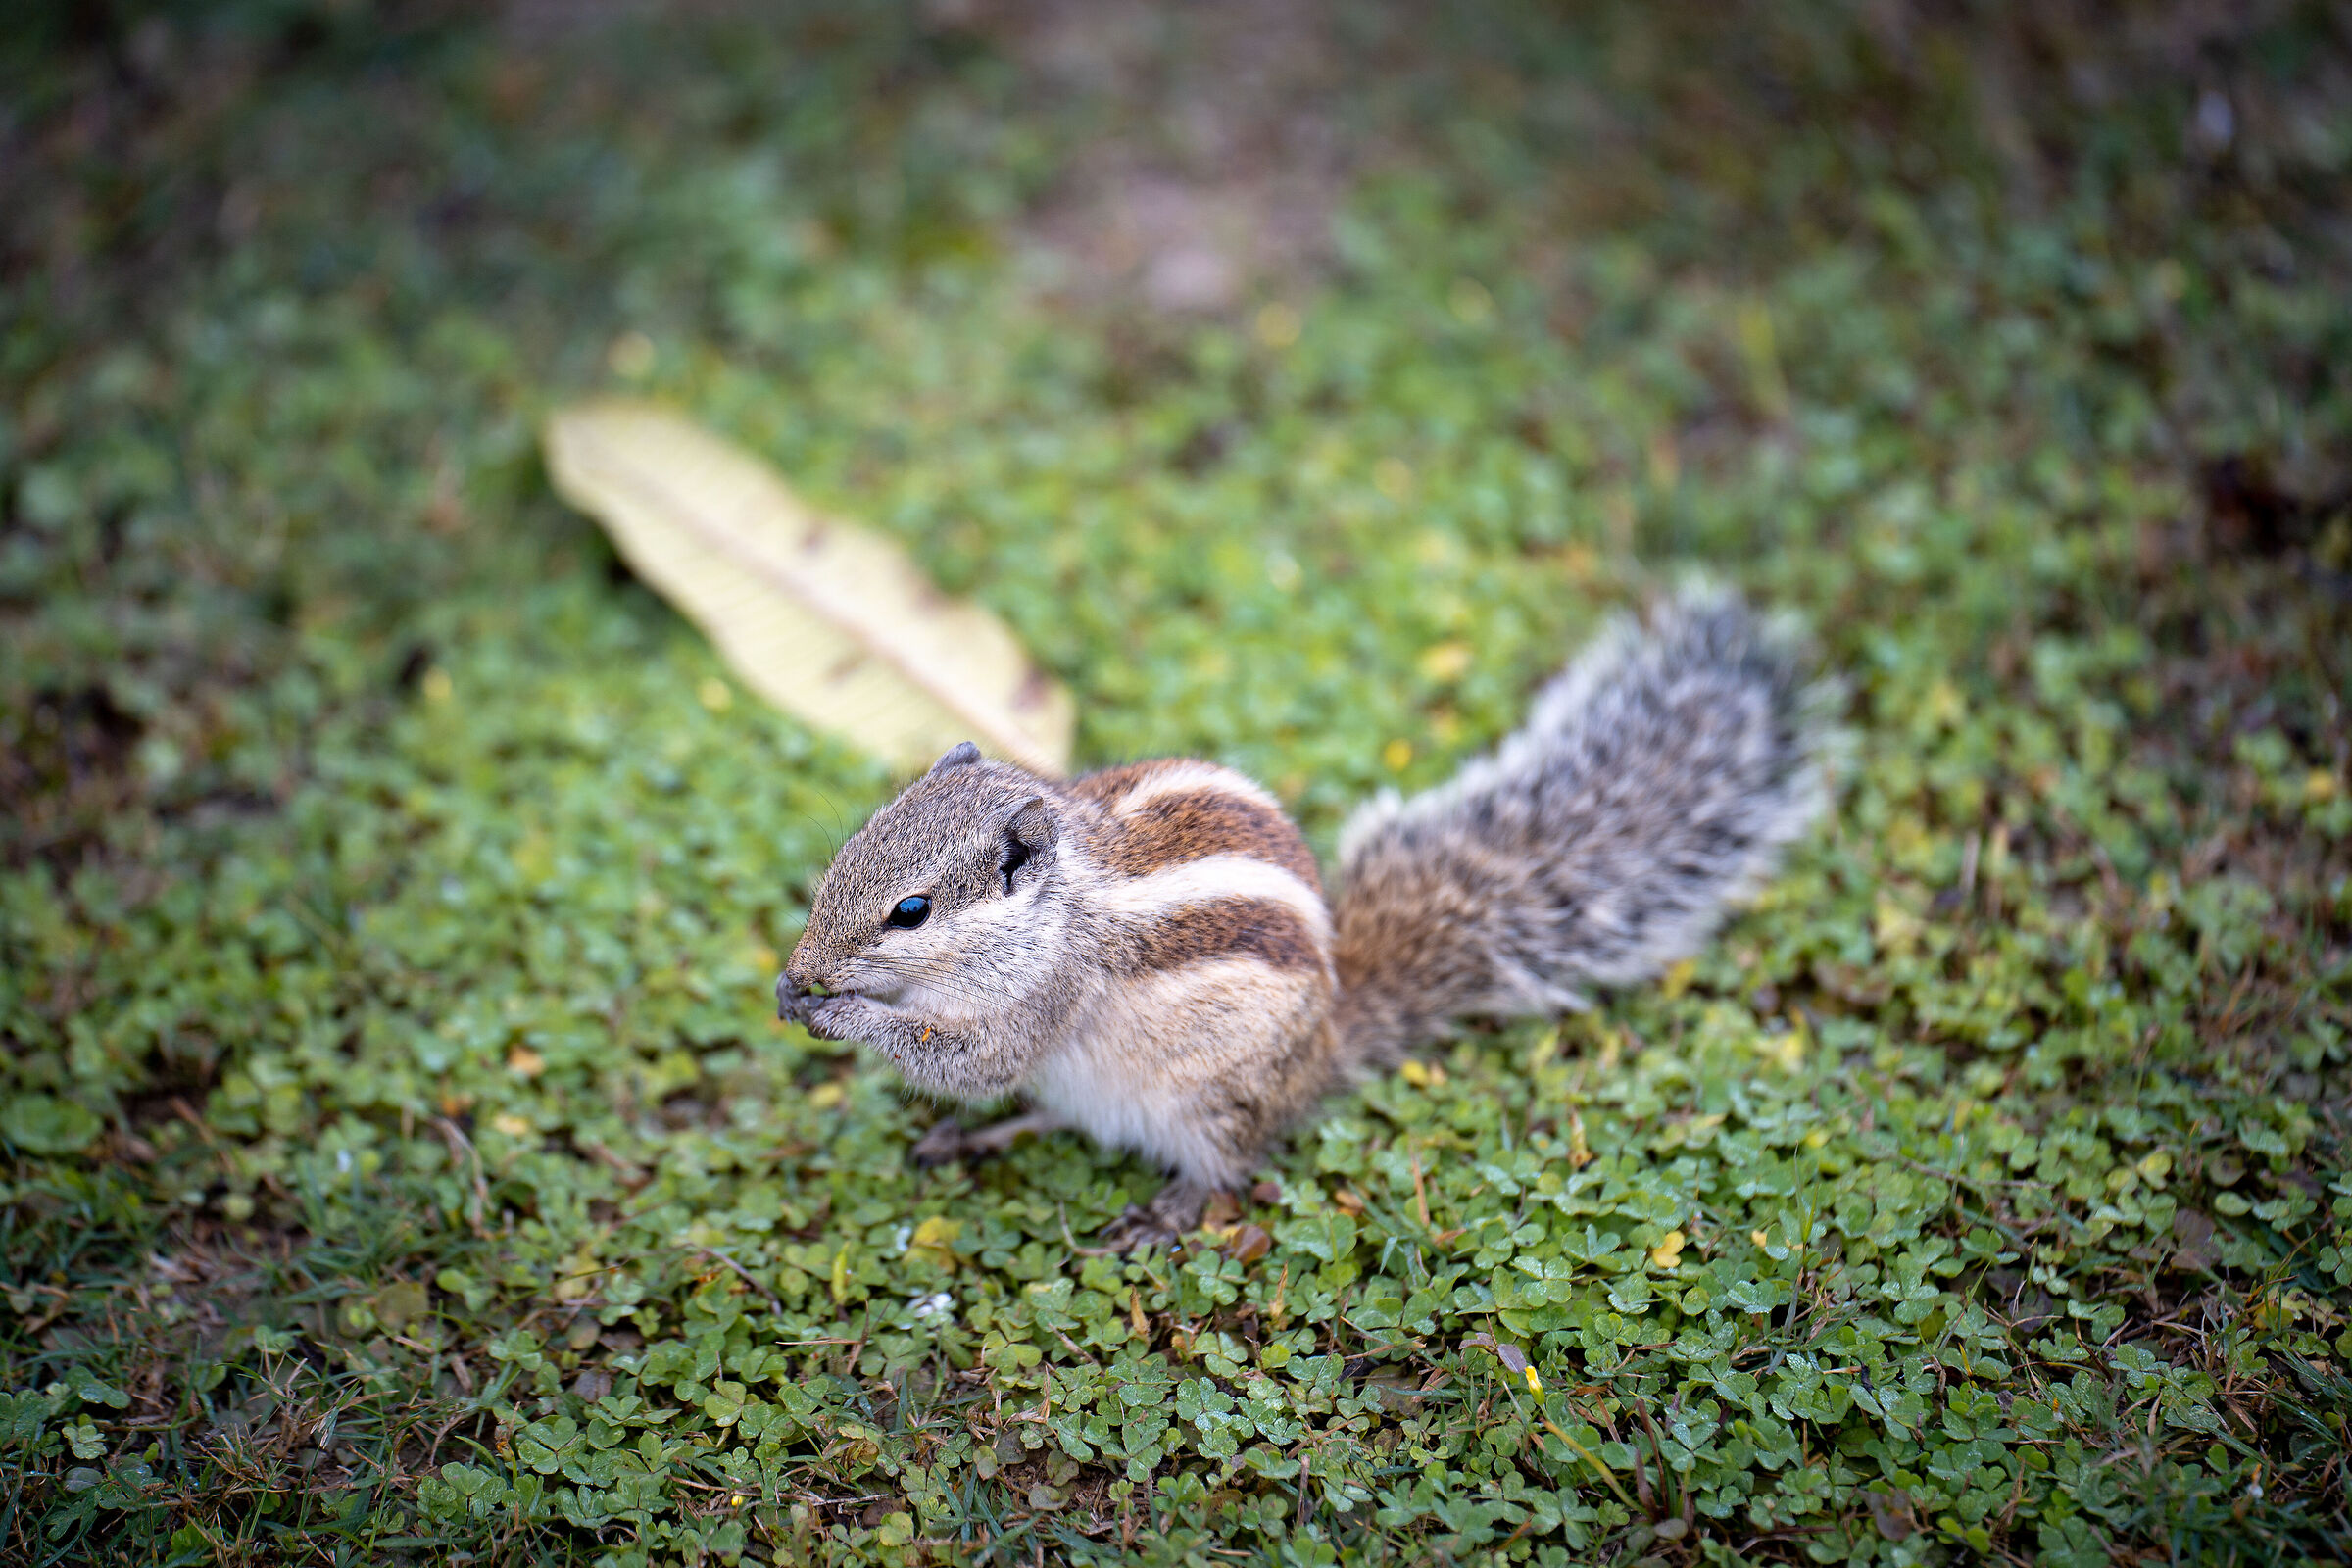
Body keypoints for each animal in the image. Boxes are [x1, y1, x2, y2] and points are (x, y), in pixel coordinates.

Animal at [778, 587, 1832, 1247]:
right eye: (852, 844)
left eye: (911, 910)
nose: (803, 968)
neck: (1059, 903)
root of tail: (1328, 1039)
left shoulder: (1044, 998)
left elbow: (969, 1061)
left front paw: (840, 1011)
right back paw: (975, 1140)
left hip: (1211, 1100)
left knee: (1228, 1167)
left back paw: (1161, 1213)